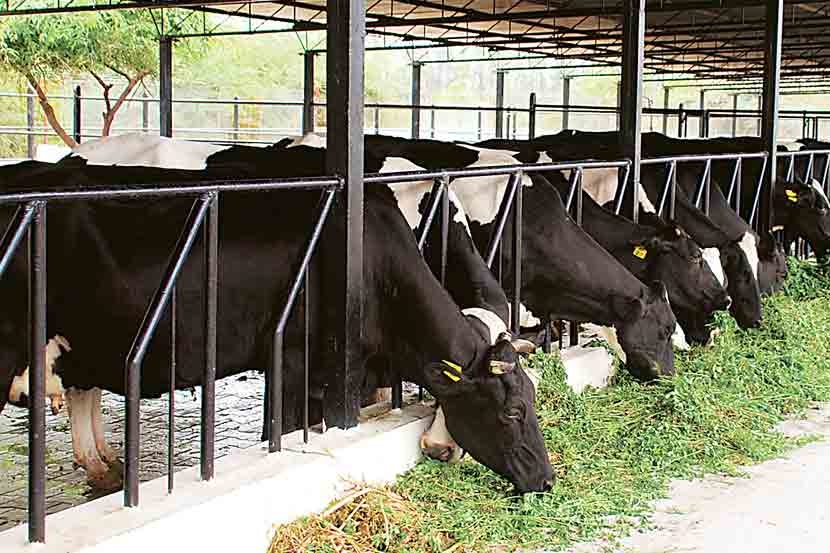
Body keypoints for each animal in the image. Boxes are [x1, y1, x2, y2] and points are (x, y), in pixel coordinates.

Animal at [0, 142, 554, 494]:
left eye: (533, 399)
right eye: (513, 411)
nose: (546, 479)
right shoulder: (290, 361)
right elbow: (286, 431)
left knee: (82, 386)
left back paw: (102, 466)